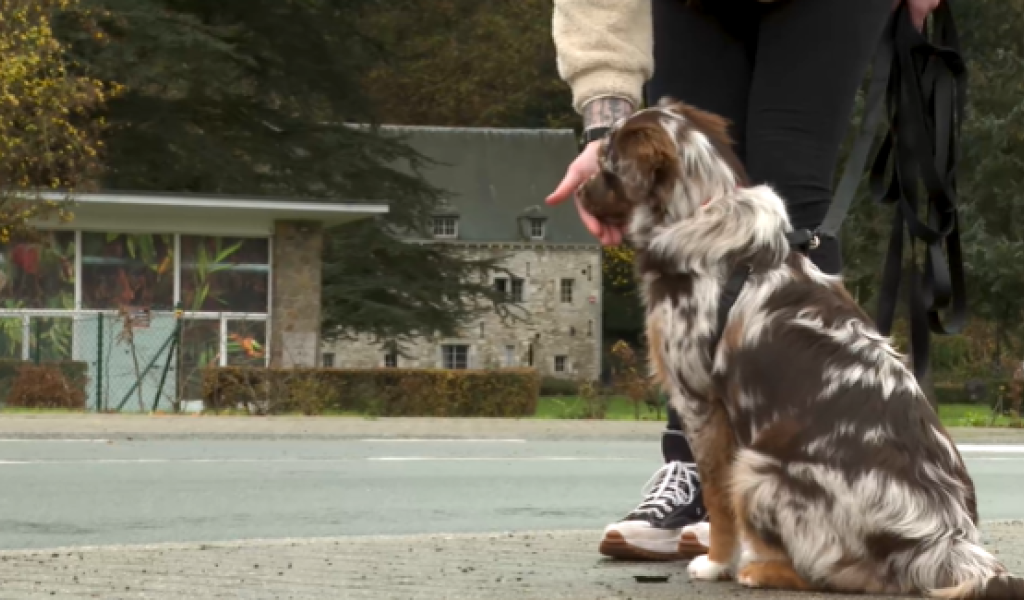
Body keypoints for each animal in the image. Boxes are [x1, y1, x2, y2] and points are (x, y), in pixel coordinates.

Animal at [581, 95, 1024, 593]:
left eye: (606, 164)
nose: (579, 191)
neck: (701, 214)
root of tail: (947, 545)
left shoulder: (700, 401)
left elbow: (717, 499)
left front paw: (716, 562)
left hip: (756, 466)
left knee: (822, 574)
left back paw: (757, 570)